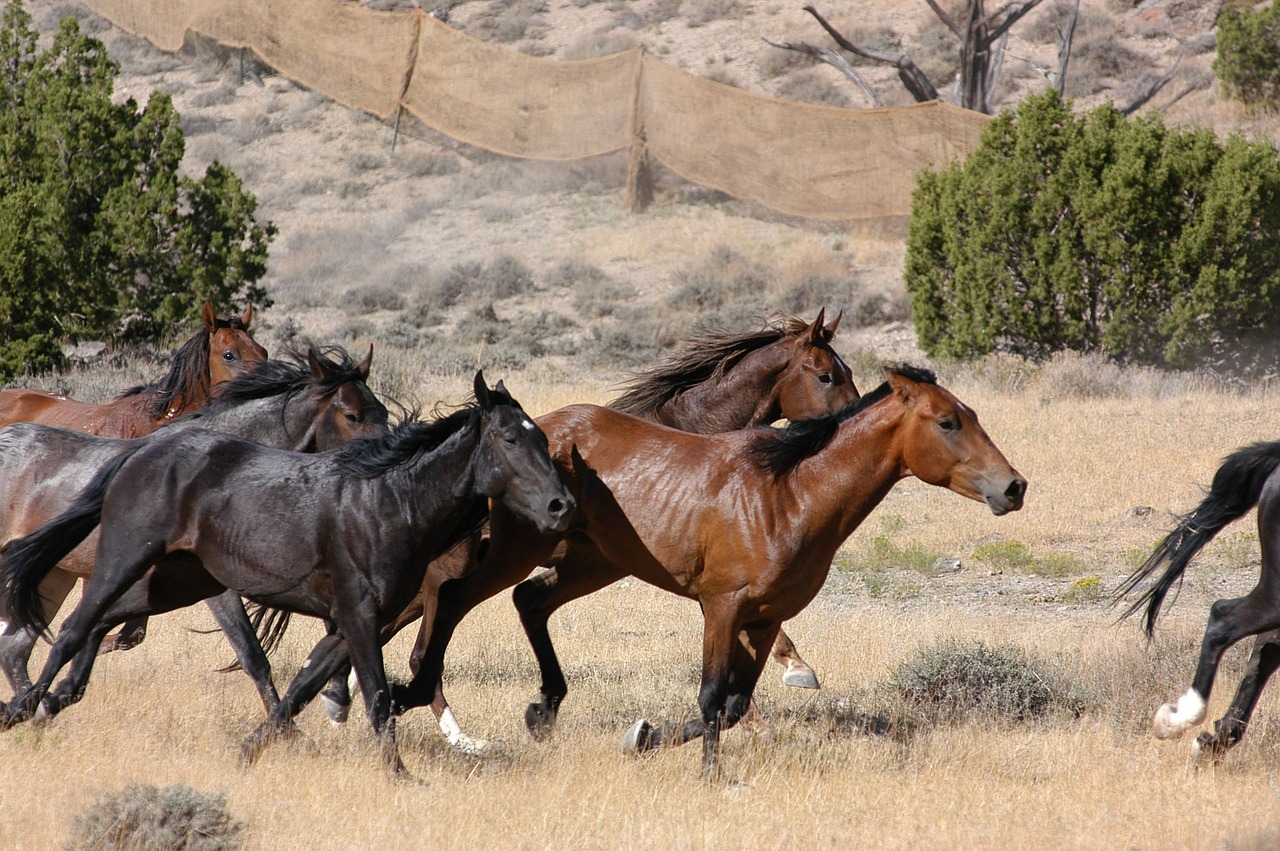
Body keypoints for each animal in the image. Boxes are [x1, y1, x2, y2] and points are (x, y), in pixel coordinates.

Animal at [0, 371, 570, 767]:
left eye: (543, 438)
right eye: (511, 440)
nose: (561, 505)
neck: (388, 502)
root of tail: (139, 454)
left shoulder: (353, 623)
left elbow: (299, 691)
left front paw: (253, 750)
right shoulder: (359, 617)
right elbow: (374, 697)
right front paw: (400, 776)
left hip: (176, 582)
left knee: (96, 622)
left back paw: (50, 701)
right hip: (125, 562)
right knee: (72, 628)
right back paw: (25, 709)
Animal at [373, 360, 1024, 772]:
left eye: (972, 414)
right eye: (948, 422)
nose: (1013, 487)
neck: (788, 495)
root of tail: (542, 429)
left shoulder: (764, 620)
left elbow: (733, 707)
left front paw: (643, 737)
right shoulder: (722, 608)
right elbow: (713, 697)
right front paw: (708, 776)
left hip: (592, 562)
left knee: (526, 601)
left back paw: (542, 710)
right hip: (518, 551)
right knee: (451, 596)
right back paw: (412, 698)